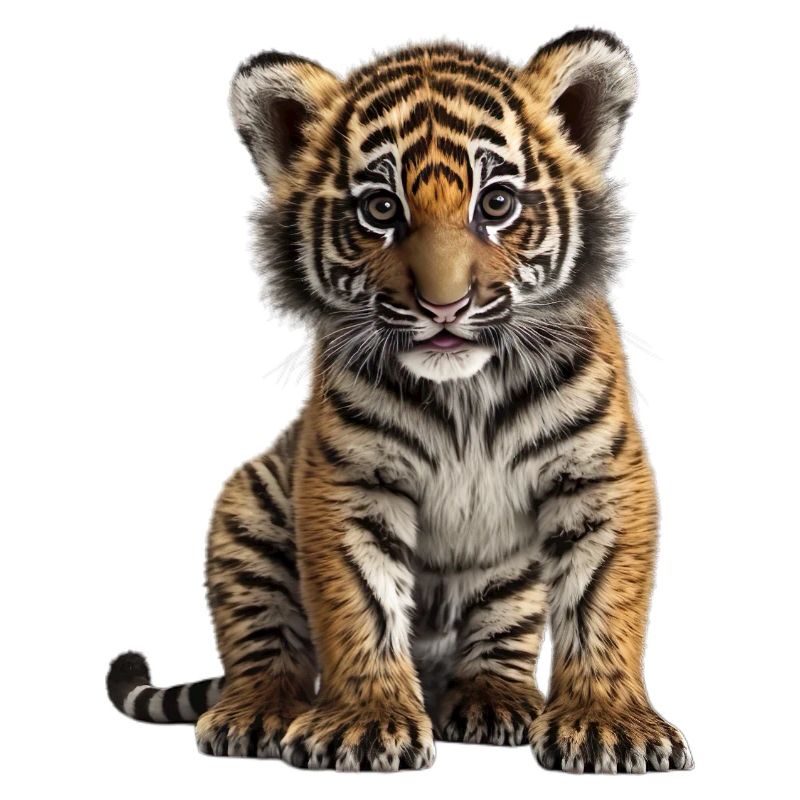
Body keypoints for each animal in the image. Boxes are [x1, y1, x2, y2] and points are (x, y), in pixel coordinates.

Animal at [106, 29, 694, 774]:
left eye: (496, 204)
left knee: (500, 638)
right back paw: (259, 712)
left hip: (511, 575)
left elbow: (603, 602)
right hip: (249, 509)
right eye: (381, 209)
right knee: (265, 643)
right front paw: (364, 722)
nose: (445, 307)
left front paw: (607, 724)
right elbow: (359, 601)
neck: (467, 390)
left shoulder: (600, 475)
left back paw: (495, 701)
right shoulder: (347, 480)